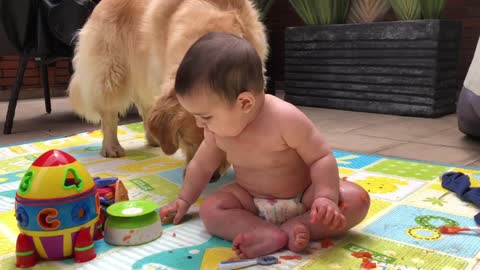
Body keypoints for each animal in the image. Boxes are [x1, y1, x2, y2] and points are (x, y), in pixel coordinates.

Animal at [67, 0, 268, 174]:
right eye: (187, 141)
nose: (212, 178)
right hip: (112, 71)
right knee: (109, 113)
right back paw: (112, 146)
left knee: (146, 107)